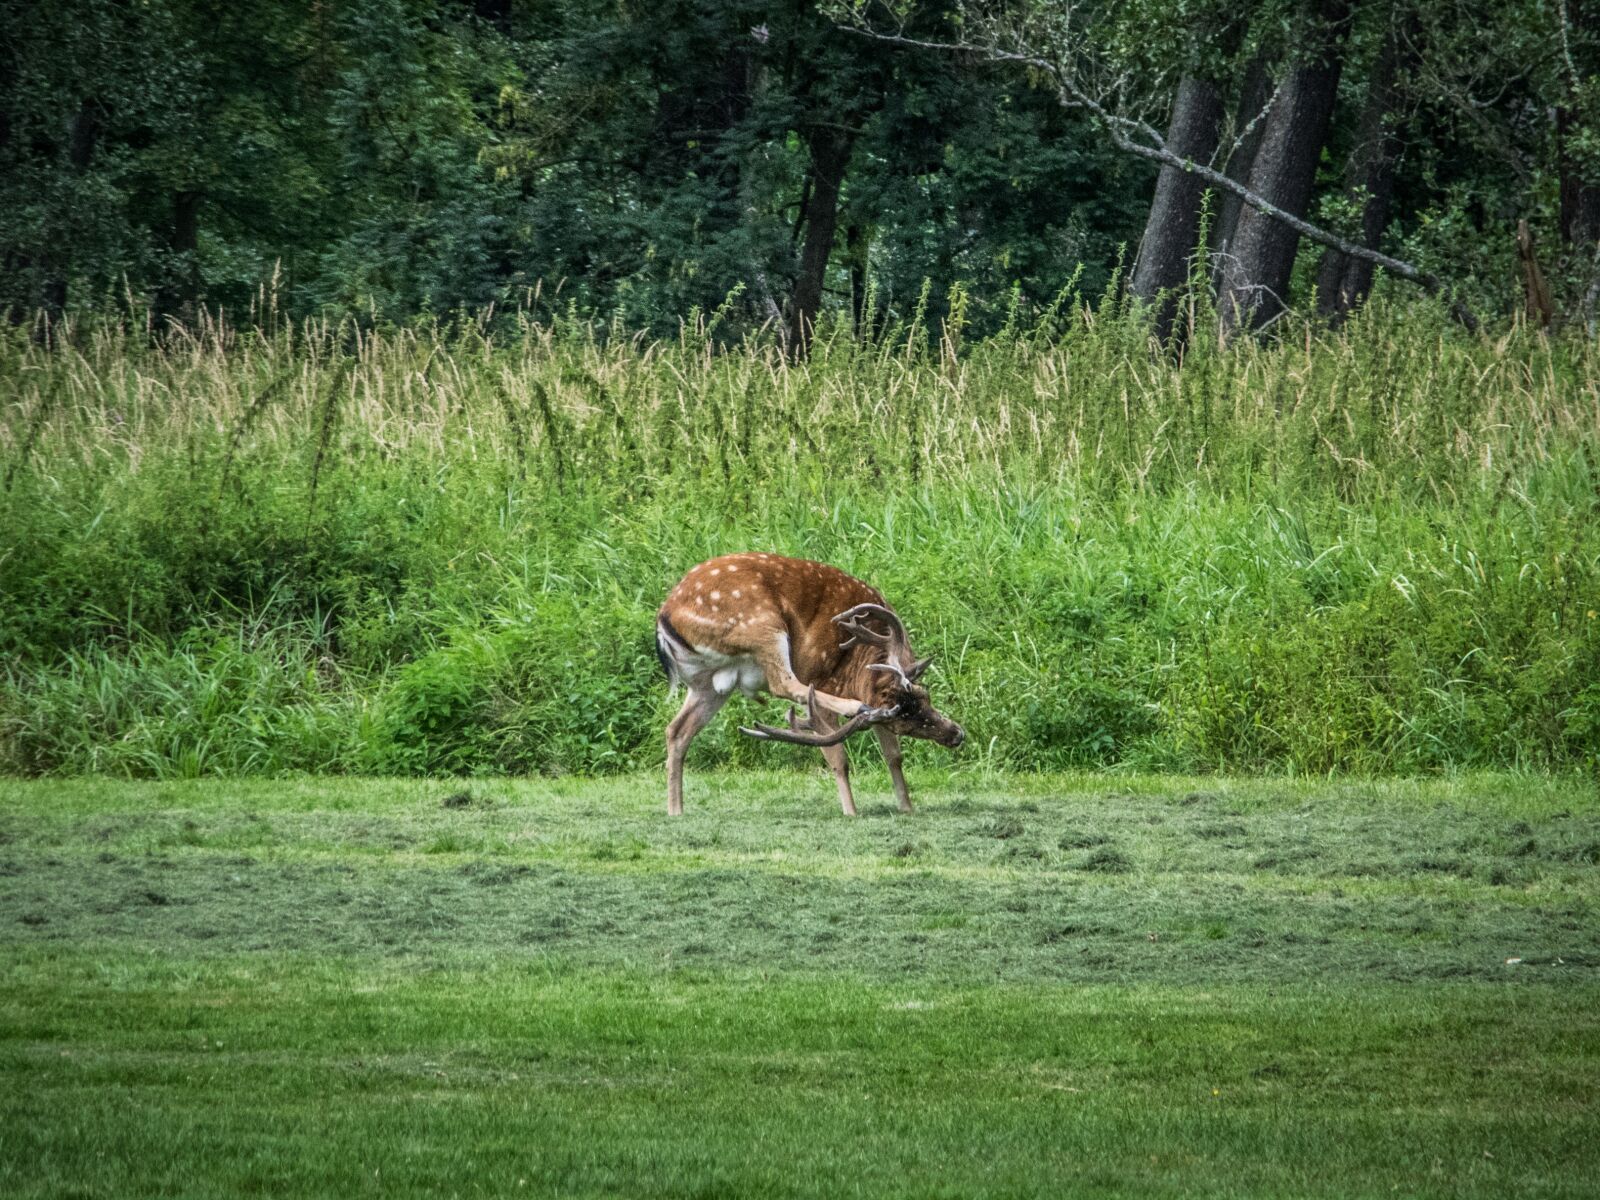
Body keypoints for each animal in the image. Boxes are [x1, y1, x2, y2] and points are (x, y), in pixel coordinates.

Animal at [655, 552, 964, 816]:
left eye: (924, 696)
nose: (956, 734)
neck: (856, 659)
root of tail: (664, 620)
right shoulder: (822, 683)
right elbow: (837, 755)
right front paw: (851, 812)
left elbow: (893, 756)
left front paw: (906, 807)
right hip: (762, 625)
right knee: (785, 683)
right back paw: (855, 707)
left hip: (708, 682)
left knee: (677, 729)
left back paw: (675, 810)